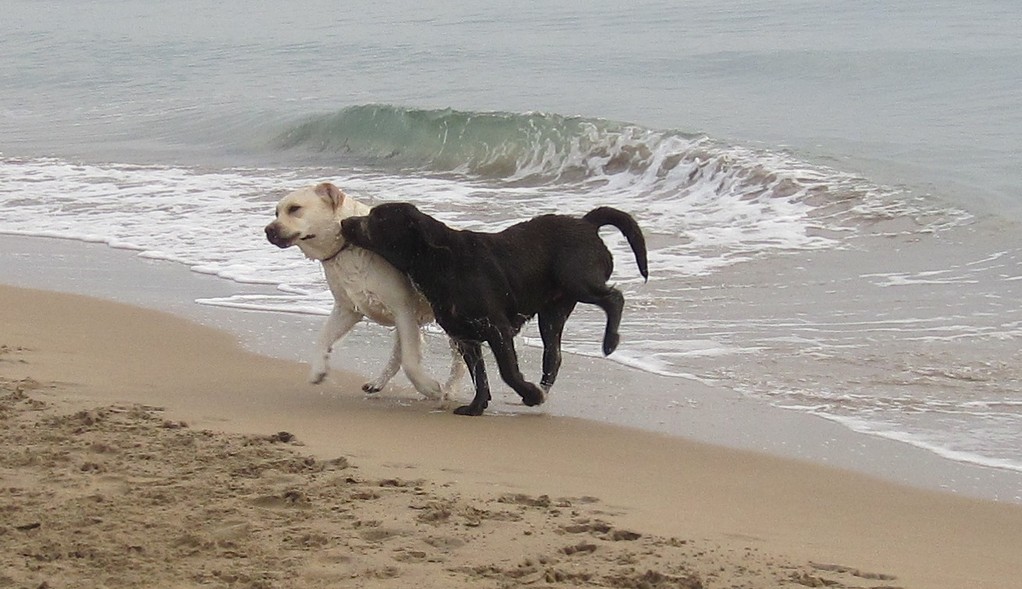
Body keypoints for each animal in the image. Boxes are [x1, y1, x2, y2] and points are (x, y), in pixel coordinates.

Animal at [264, 182, 464, 400]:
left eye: (294, 209)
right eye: (276, 213)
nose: (268, 230)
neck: (347, 244)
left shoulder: (403, 309)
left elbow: (410, 361)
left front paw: (429, 388)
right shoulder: (347, 310)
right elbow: (323, 337)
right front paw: (318, 369)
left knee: (457, 361)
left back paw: (449, 390)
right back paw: (378, 383)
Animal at [339, 203, 648, 416]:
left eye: (377, 218)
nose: (344, 221)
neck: (440, 261)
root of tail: (586, 223)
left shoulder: (497, 329)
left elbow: (507, 371)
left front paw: (530, 394)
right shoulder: (465, 337)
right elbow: (480, 376)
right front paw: (477, 406)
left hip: (578, 281)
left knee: (614, 298)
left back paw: (609, 342)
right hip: (553, 311)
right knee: (554, 354)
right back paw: (545, 385)